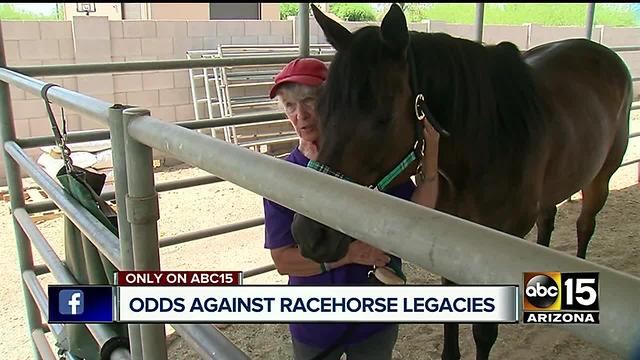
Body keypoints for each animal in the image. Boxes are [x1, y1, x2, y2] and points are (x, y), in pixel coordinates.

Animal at [292, 2, 632, 360]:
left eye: (382, 118)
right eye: (322, 108)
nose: (309, 235)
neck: (488, 142)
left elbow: (483, 333)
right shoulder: (450, 247)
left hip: (600, 179)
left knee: (585, 225)